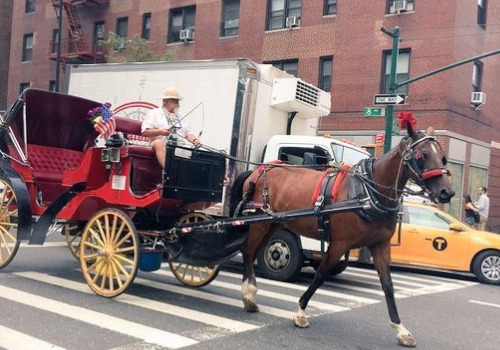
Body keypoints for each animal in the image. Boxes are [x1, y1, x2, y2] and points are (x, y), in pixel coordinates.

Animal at [230, 119, 454, 348]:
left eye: (443, 157)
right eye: (421, 155)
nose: (447, 192)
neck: (368, 193)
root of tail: (258, 171)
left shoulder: (380, 245)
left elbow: (388, 285)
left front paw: (401, 329)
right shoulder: (339, 243)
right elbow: (320, 275)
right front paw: (301, 312)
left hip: (272, 223)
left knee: (253, 252)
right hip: (259, 222)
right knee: (247, 250)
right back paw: (249, 295)